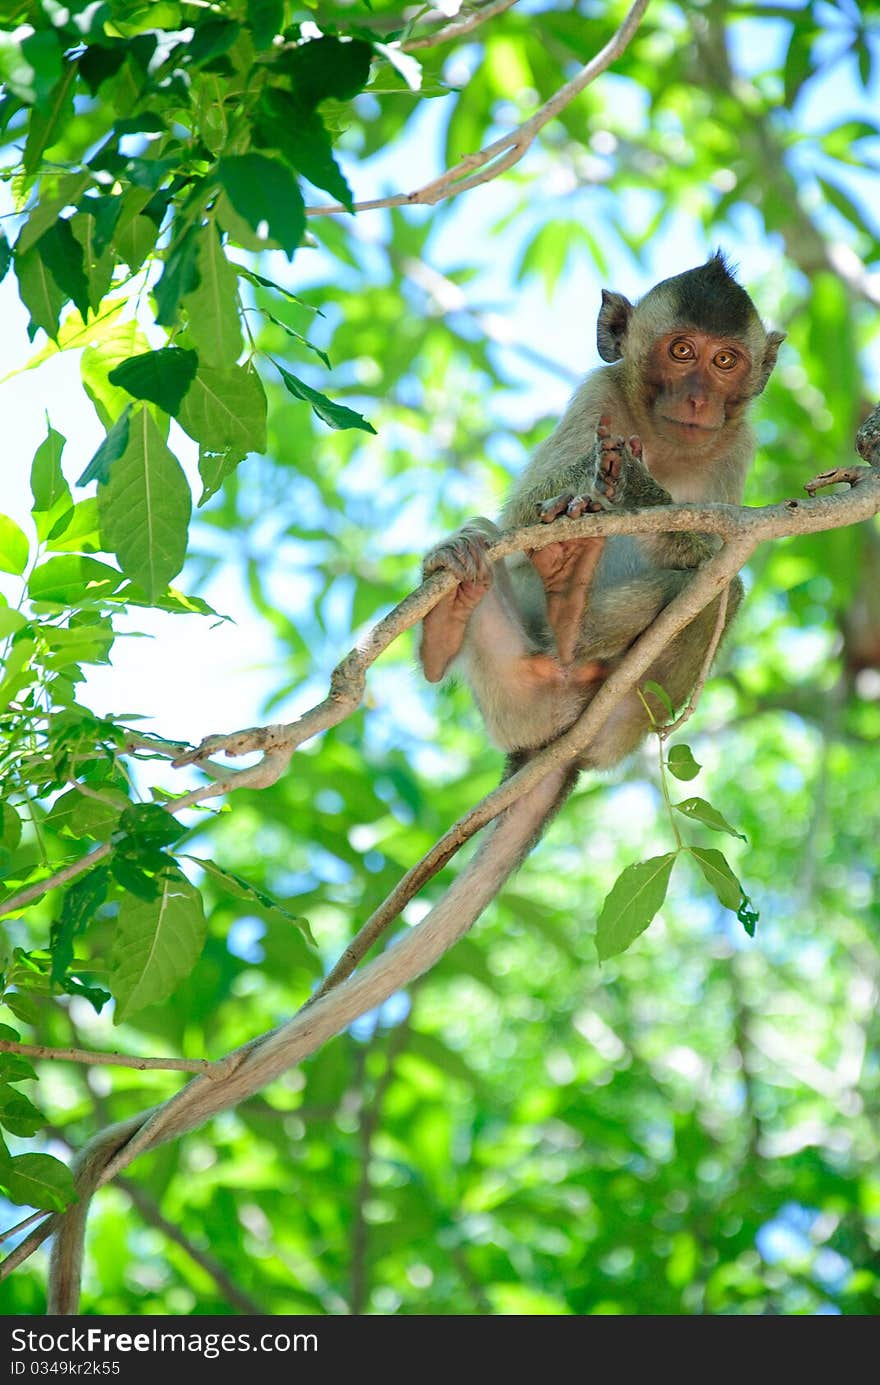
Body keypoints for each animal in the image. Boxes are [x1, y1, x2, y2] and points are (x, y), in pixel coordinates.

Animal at [421, 250, 787, 770]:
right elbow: (519, 517)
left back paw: (569, 623)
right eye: (681, 351)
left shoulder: (736, 447)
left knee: (722, 592)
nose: (698, 399)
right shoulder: (598, 395)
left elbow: (714, 555)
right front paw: (591, 482)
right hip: (511, 704)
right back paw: (452, 617)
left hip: (627, 726)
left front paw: (635, 487)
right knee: (486, 536)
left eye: (724, 361)